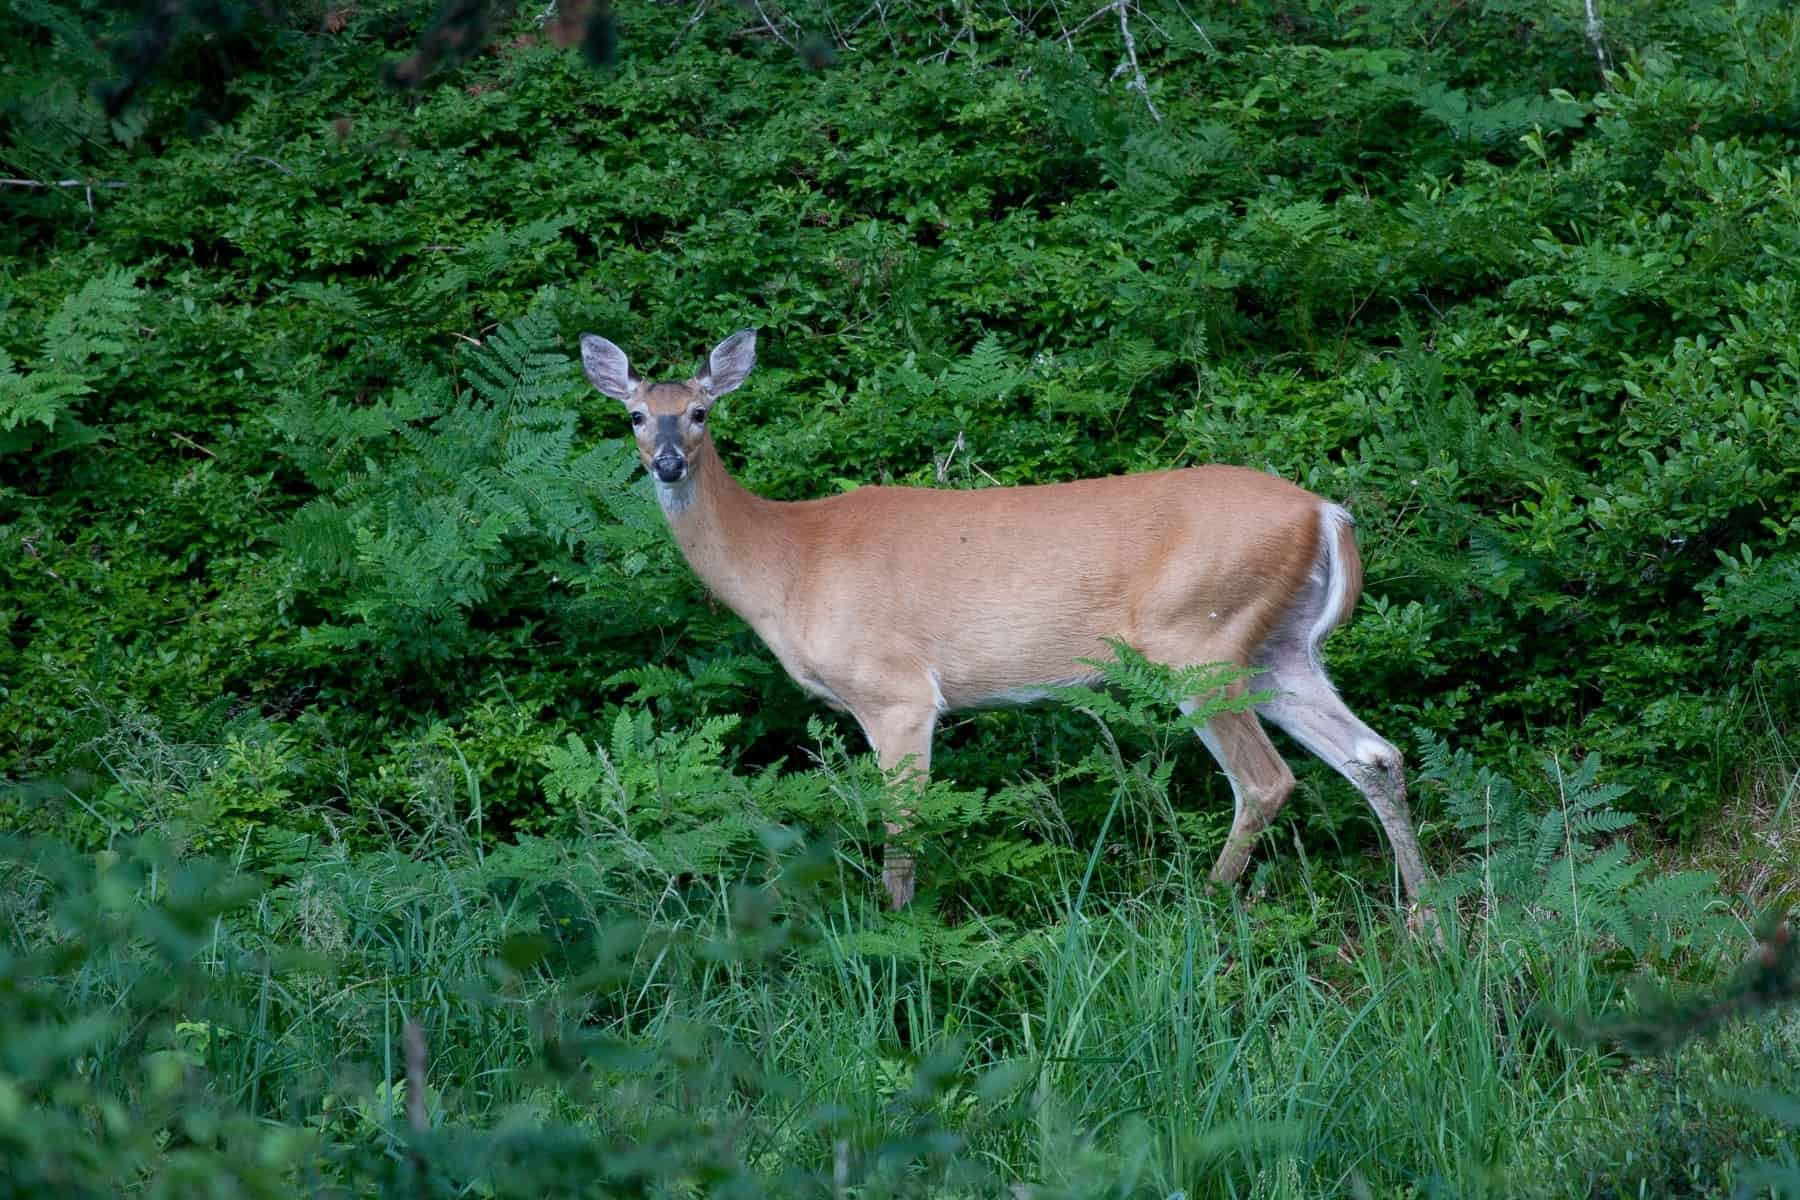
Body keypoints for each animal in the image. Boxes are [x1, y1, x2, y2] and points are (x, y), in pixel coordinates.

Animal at [579, 329, 1432, 919]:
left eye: (698, 411)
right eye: (633, 416)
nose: (666, 463)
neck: (789, 562)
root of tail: (1325, 513)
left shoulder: (896, 692)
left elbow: (902, 831)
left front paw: (897, 933)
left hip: (1199, 639)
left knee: (1266, 779)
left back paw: (1201, 903)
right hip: (1275, 649)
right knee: (1374, 754)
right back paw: (1425, 921)